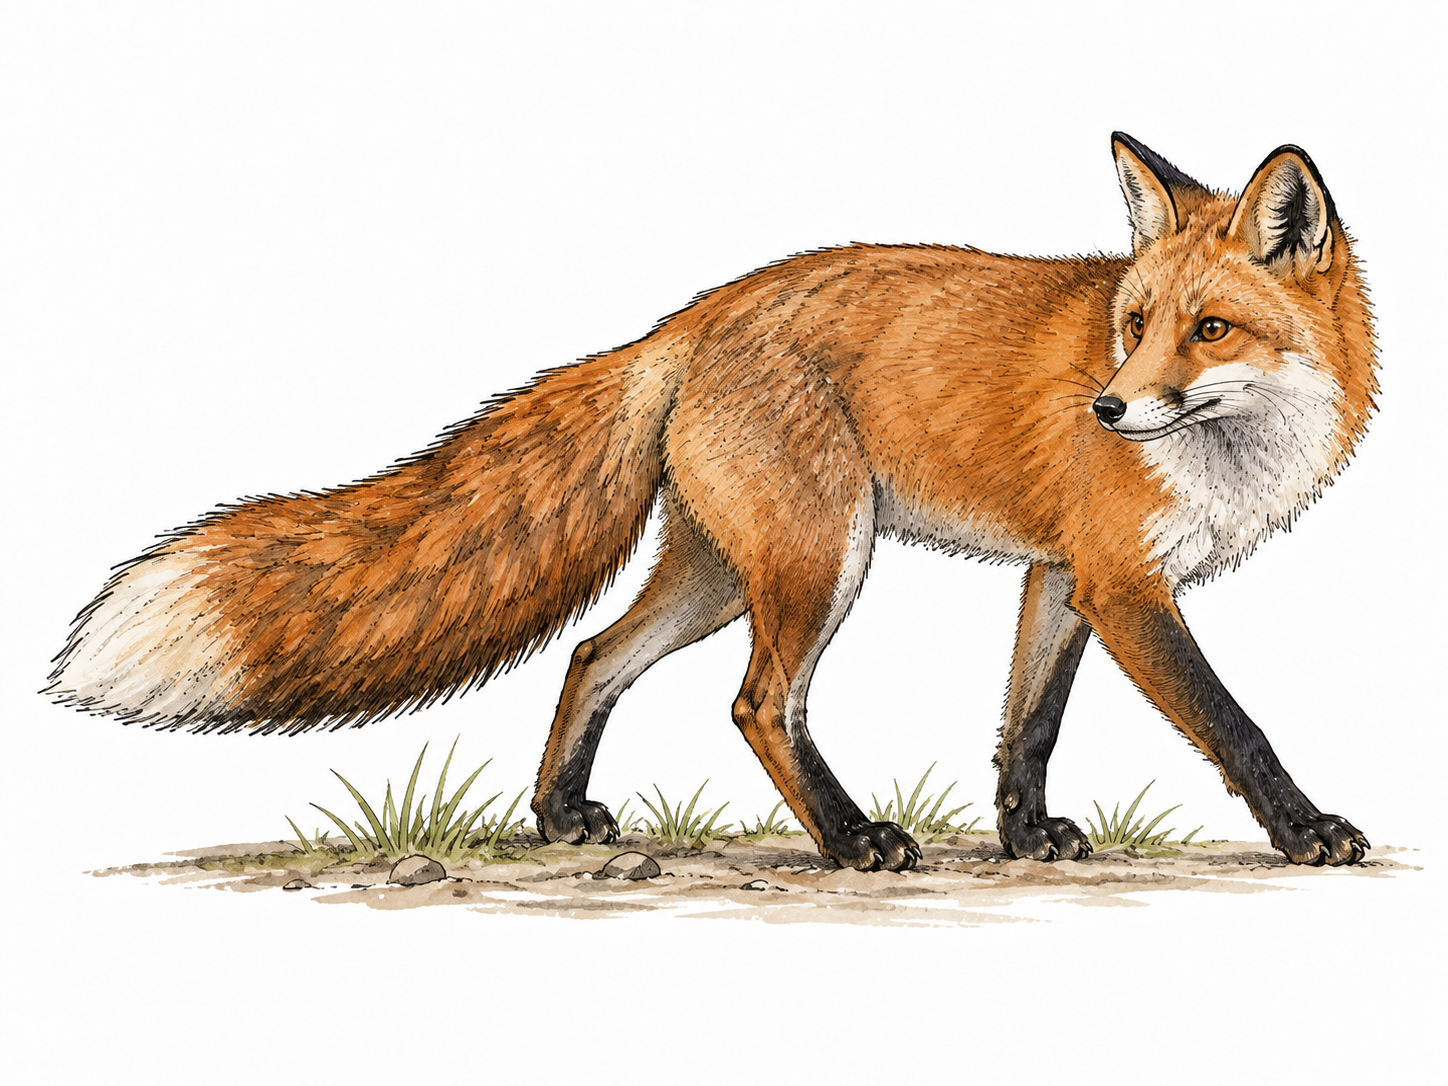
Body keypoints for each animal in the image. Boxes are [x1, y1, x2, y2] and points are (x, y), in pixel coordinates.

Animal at [47, 133, 1376, 872]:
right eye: (1133, 324)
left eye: (1206, 330)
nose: (1105, 411)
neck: (1237, 449)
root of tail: (688, 318)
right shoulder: (1121, 581)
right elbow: (1232, 724)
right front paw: (1306, 832)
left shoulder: (1064, 575)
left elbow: (1026, 729)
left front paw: (1022, 838)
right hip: (816, 562)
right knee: (755, 703)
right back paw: (847, 842)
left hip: (720, 571)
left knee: (591, 654)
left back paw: (561, 815)